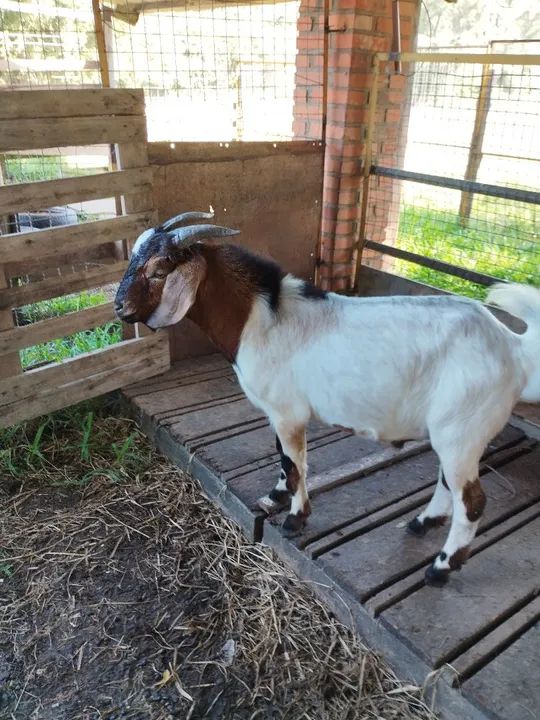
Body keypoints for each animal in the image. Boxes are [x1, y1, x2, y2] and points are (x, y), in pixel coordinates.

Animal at [115, 211, 540, 586]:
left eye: (158, 270)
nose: (119, 306)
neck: (262, 320)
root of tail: (512, 347)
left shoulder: (288, 412)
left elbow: (296, 465)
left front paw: (295, 518)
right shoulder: (278, 413)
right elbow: (283, 459)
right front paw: (276, 496)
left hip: (462, 430)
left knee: (473, 502)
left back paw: (440, 569)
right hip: (453, 433)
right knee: (449, 484)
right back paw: (422, 523)